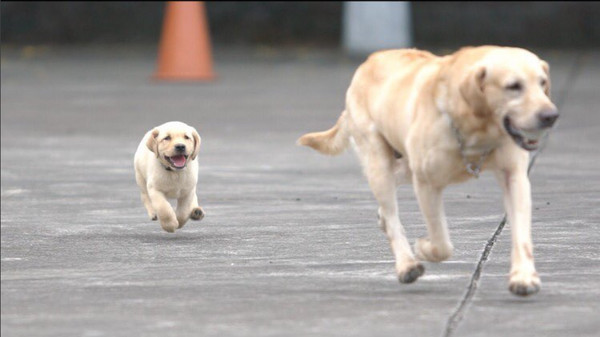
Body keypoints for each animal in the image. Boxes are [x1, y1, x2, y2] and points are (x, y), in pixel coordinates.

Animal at [298, 45, 556, 294]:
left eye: (542, 83)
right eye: (513, 86)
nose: (551, 115)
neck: (475, 126)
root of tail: (368, 62)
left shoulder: (515, 177)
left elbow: (521, 232)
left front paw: (523, 277)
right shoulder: (427, 184)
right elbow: (441, 242)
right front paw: (423, 249)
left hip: (404, 164)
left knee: (391, 195)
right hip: (379, 162)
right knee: (392, 215)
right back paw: (406, 265)